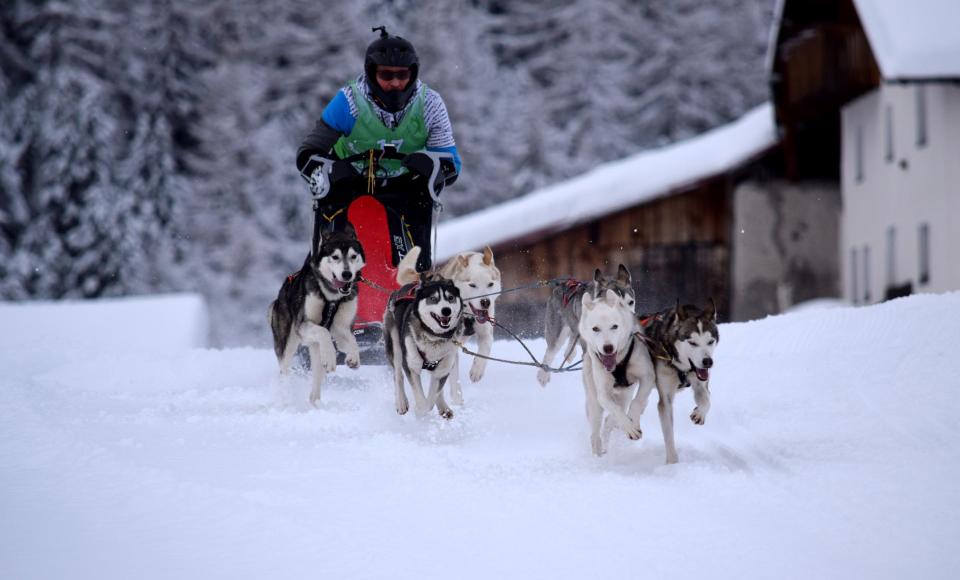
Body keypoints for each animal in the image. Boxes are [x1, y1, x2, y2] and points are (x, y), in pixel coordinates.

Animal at [268, 224, 366, 406]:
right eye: (335, 257)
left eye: (353, 256)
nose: (347, 274)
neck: (332, 296)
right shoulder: (304, 324)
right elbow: (324, 331)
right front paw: (332, 357)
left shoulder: (340, 327)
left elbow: (352, 340)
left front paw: (353, 357)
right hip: (288, 344)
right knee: (284, 371)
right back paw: (286, 398)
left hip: (314, 349)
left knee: (317, 377)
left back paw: (315, 402)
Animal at [386, 247, 468, 420]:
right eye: (433, 298)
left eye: (451, 298)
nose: (446, 310)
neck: (434, 337)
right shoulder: (411, 365)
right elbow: (422, 399)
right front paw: (420, 410)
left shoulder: (443, 367)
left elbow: (433, 394)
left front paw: (433, 406)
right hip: (395, 345)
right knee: (397, 375)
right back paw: (401, 402)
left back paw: (443, 407)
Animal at [438, 247, 502, 406]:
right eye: (472, 285)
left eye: (490, 284)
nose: (485, 302)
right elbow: (454, 377)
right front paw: (457, 401)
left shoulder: (485, 332)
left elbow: (485, 349)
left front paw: (477, 370)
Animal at [628, 300, 716, 462]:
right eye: (692, 343)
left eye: (710, 341)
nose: (707, 362)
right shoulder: (666, 399)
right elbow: (668, 435)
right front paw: (672, 463)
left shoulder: (700, 382)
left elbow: (706, 400)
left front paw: (699, 413)